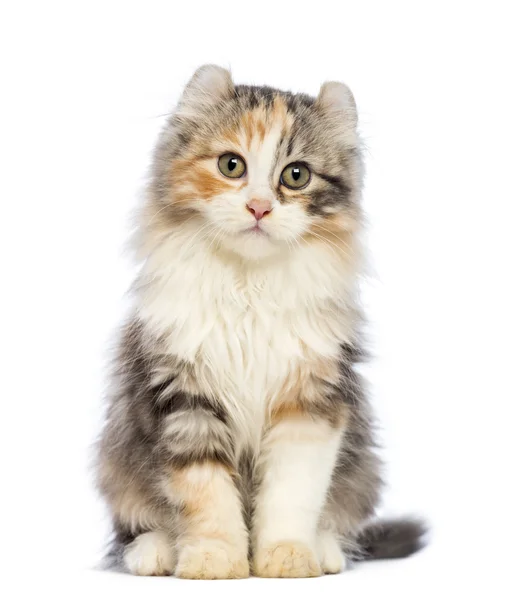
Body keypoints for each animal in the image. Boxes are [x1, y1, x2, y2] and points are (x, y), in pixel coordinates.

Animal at [96, 64, 424, 576]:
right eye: (232, 166)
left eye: (296, 175)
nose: (259, 207)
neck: (249, 288)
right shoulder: (184, 399)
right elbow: (206, 497)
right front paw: (212, 559)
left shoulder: (309, 404)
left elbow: (292, 495)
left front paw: (287, 557)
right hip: (117, 465)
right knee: (133, 528)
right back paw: (155, 552)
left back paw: (326, 550)